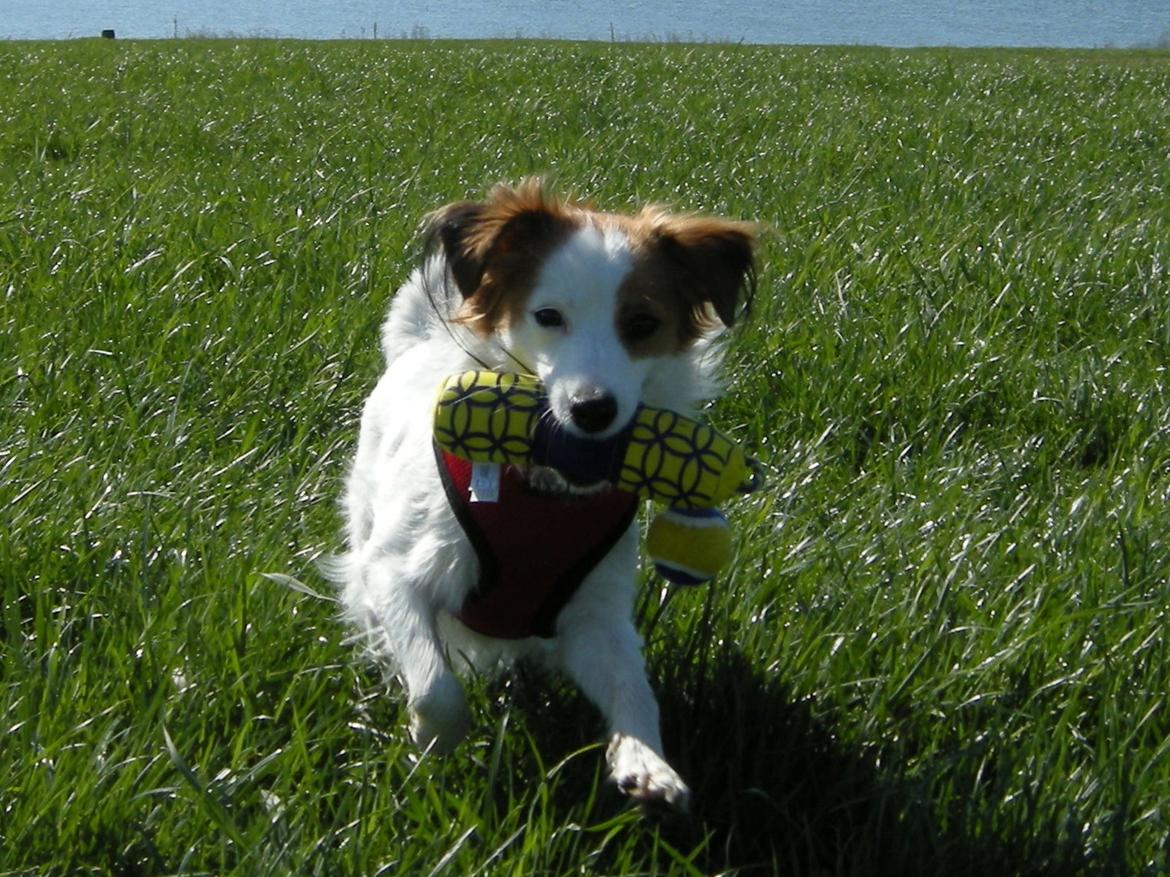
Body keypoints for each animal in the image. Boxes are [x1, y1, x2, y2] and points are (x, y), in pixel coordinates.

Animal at [336, 178, 758, 809]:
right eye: (548, 316)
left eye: (641, 323)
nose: (592, 409)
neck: (540, 495)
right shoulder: (394, 571)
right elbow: (436, 685)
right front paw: (432, 740)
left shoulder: (595, 612)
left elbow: (632, 688)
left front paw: (647, 762)